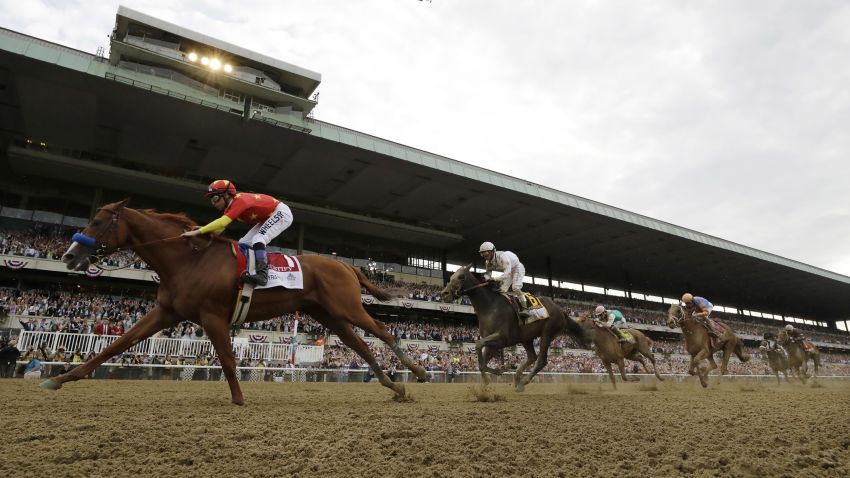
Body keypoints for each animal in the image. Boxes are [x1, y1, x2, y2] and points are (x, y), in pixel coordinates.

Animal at [38, 199, 430, 404]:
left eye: (98, 221)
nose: (69, 255)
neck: (187, 260)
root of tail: (344, 264)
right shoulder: (166, 312)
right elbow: (116, 345)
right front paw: (62, 378)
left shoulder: (212, 316)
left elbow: (227, 359)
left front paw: (239, 399)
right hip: (329, 315)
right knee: (360, 345)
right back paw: (394, 385)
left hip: (347, 307)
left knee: (383, 332)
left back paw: (419, 371)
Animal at [438, 264, 584, 390]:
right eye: (451, 277)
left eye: (461, 276)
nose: (444, 294)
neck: (490, 306)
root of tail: (561, 310)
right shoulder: (492, 342)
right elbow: (482, 362)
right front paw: (496, 373)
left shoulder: (501, 337)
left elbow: (478, 345)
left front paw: (495, 373)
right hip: (526, 338)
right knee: (532, 357)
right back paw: (517, 378)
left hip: (547, 333)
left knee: (541, 360)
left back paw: (523, 382)